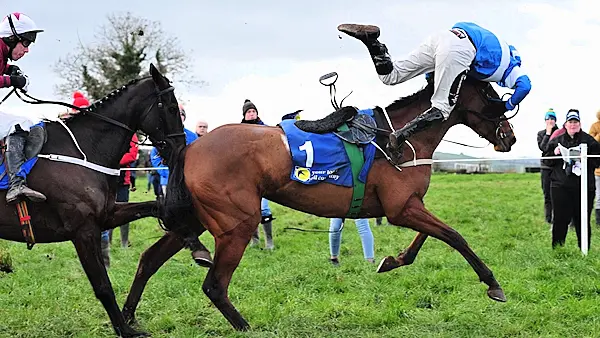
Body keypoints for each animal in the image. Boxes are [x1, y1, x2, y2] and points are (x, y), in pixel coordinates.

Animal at [120, 76, 516, 330]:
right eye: (491, 94)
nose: (510, 137)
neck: (398, 138)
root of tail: (190, 147)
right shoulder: (402, 208)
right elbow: (455, 236)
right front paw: (493, 284)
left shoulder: (408, 206)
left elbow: (431, 237)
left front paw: (392, 260)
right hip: (236, 225)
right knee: (214, 285)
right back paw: (245, 326)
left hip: (199, 219)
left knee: (149, 259)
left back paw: (127, 317)